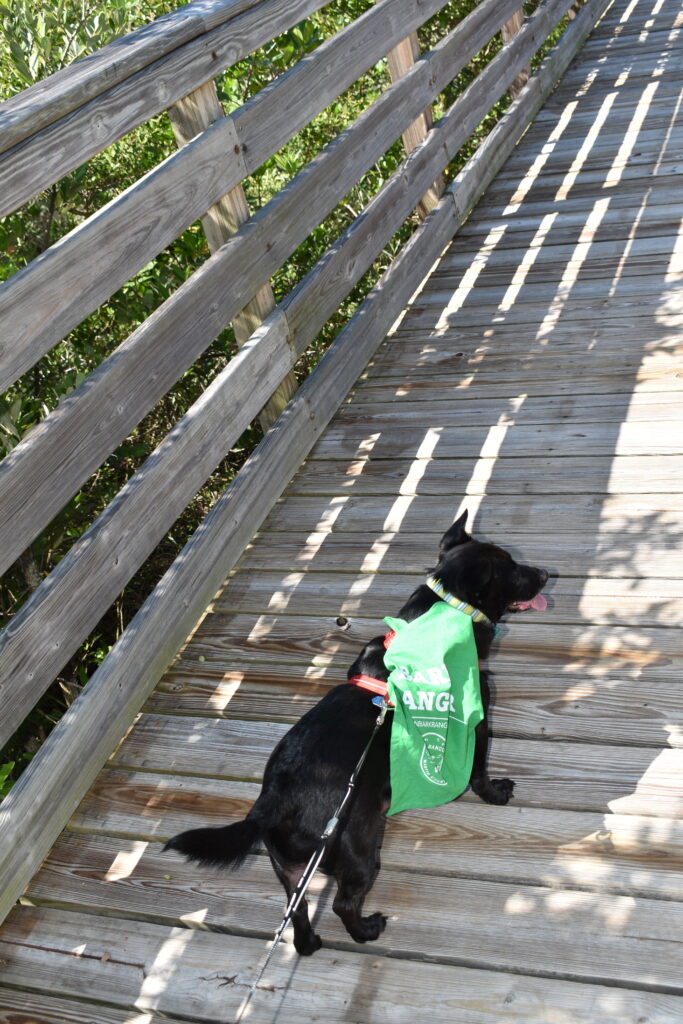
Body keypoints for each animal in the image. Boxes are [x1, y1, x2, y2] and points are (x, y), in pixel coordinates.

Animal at [165, 512, 548, 958]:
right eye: (511, 567)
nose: (545, 574)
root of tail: (273, 799)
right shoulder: (476, 720)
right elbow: (478, 771)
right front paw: (496, 793)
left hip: (289, 869)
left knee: (297, 913)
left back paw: (311, 944)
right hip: (359, 852)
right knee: (341, 903)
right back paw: (367, 930)